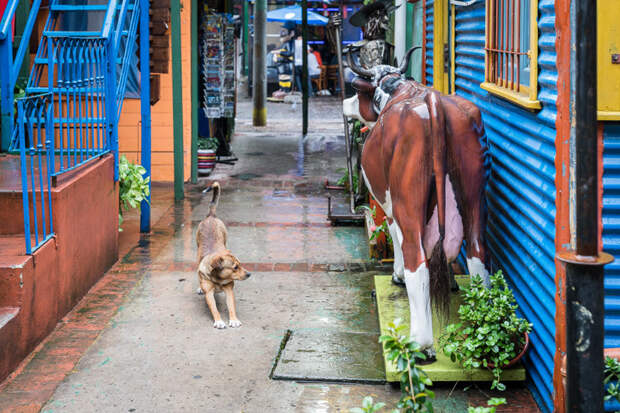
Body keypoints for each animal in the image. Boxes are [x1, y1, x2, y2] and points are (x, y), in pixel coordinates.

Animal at [196, 182, 249, 326]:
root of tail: (211, 215)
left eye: (240, 264)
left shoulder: (229, 290)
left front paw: (234, 320)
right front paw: (219, 321)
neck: (218, 279)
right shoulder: (209, 293)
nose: (249, 274)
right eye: (235, 267)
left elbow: (231, 306)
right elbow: (214, 309)